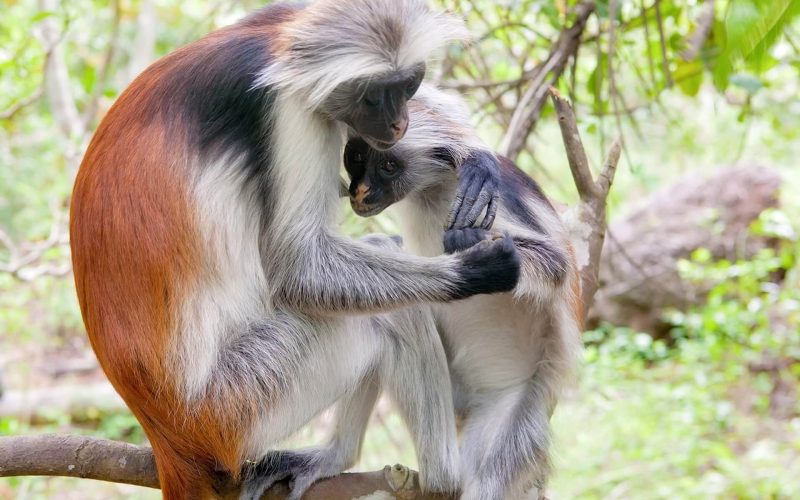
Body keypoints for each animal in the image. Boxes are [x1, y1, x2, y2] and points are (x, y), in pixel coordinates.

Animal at [69, 2, 522, 499]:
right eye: (375, 96)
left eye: (408, 86)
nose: (399, 123)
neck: (276, 48)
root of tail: (168, 438)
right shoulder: (287, 110)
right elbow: (297, 269)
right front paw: (475, 270)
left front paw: (469, 149)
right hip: (239, 402)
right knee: (390, 314)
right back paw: (442, 478)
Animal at [343, 84, 583, 500]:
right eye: (357, 156)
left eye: (388, 166)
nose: (360, 191)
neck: (433, 188)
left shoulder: (494, 201)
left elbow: (556, 264)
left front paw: (474, 244)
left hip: (512, 407)